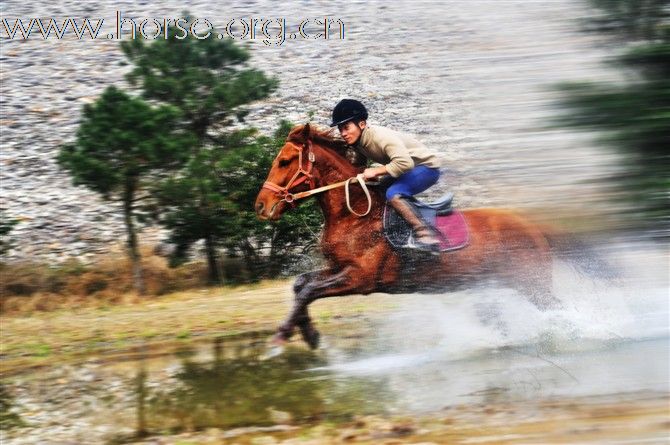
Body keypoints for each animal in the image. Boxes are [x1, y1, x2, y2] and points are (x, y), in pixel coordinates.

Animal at [258, 123, 592, 348]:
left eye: (284, 161)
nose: (261, 206)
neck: (354, 214)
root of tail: (532, 226)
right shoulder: (338, 268)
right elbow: (302, 285)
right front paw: (308, 333)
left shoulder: (360, 278)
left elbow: (309, 291)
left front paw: (282, 336)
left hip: (531, 282)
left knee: (561, 309)